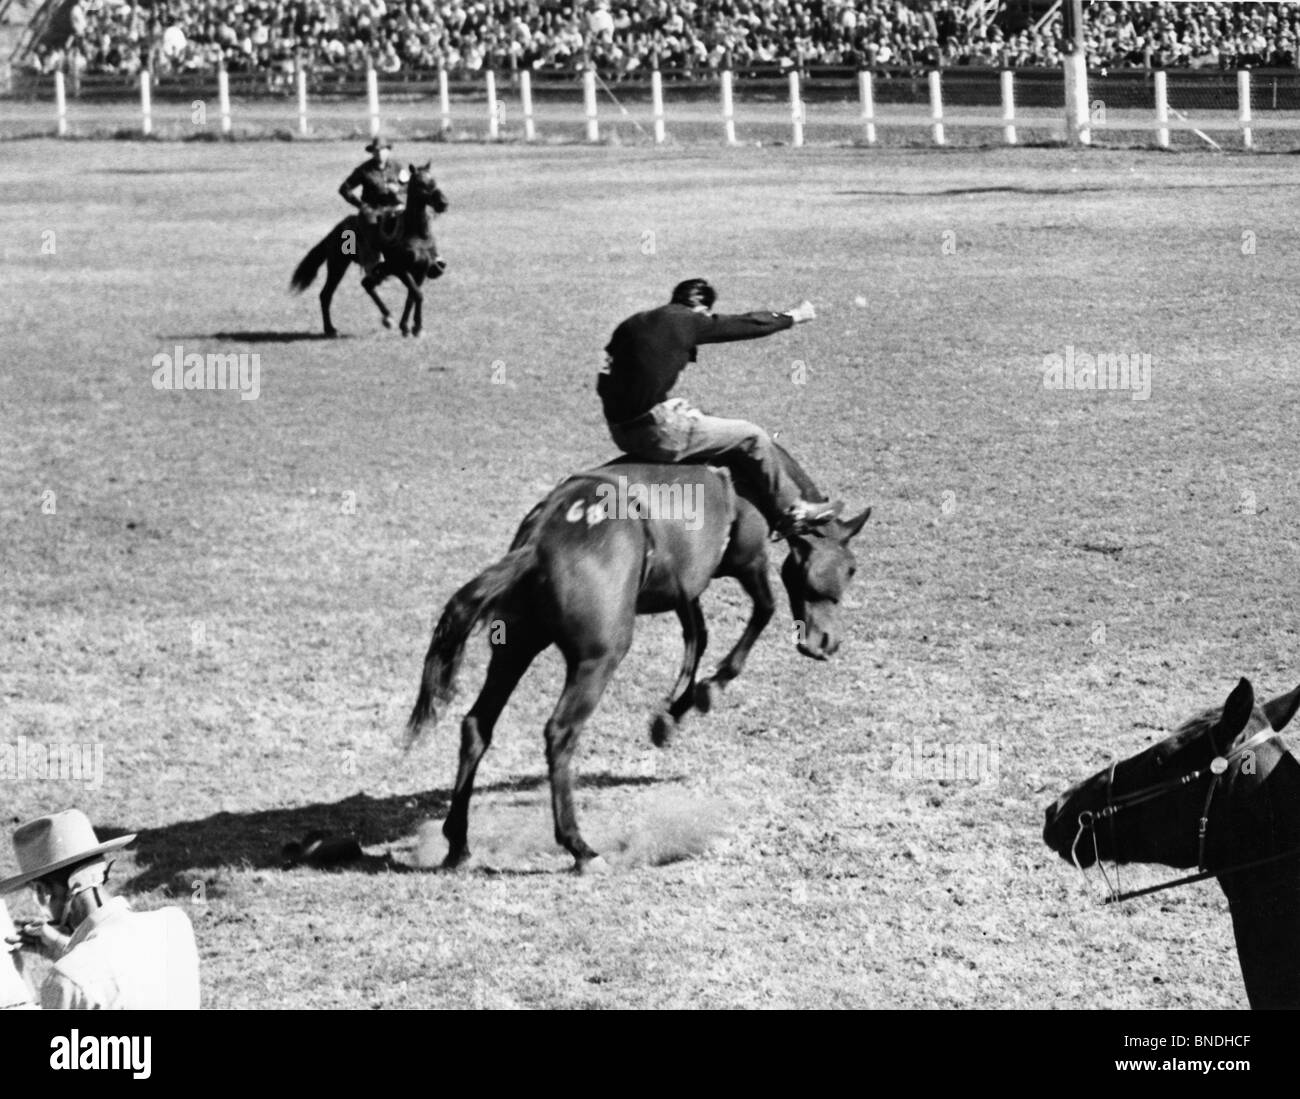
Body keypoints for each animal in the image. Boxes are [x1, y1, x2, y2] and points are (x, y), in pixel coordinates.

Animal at [289, 160, 447, 335]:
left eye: (434, 181)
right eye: (420, 183)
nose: (443, 203)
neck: (416, 233)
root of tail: (336, 229)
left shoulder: (421, 270)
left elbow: (412, 296)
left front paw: (411, 326)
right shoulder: (399, 269)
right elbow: (417, 294)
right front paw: (412, 327)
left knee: (366, 284)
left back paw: (387, 318)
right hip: (338, 265)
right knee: (327, 294)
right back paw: (331, 329)